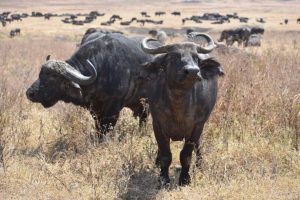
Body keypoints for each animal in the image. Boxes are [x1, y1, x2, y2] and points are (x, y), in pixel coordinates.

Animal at [25, 33, 155, 138]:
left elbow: (106, 129)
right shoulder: (95, 110)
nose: (30, 93)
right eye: (40, 74)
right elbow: (98, 128)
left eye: (52, 79)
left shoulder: (113, 109)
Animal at [139, 32, 224, 186]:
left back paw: (200, 164)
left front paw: (185, 179)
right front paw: (163, 179)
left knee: (198, 144)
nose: (193, 71)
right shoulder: (157, 124)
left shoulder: (197, 126)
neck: (179, 104)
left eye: (196, 57)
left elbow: (186, 155)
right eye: (174, 57)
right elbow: (166, 154)